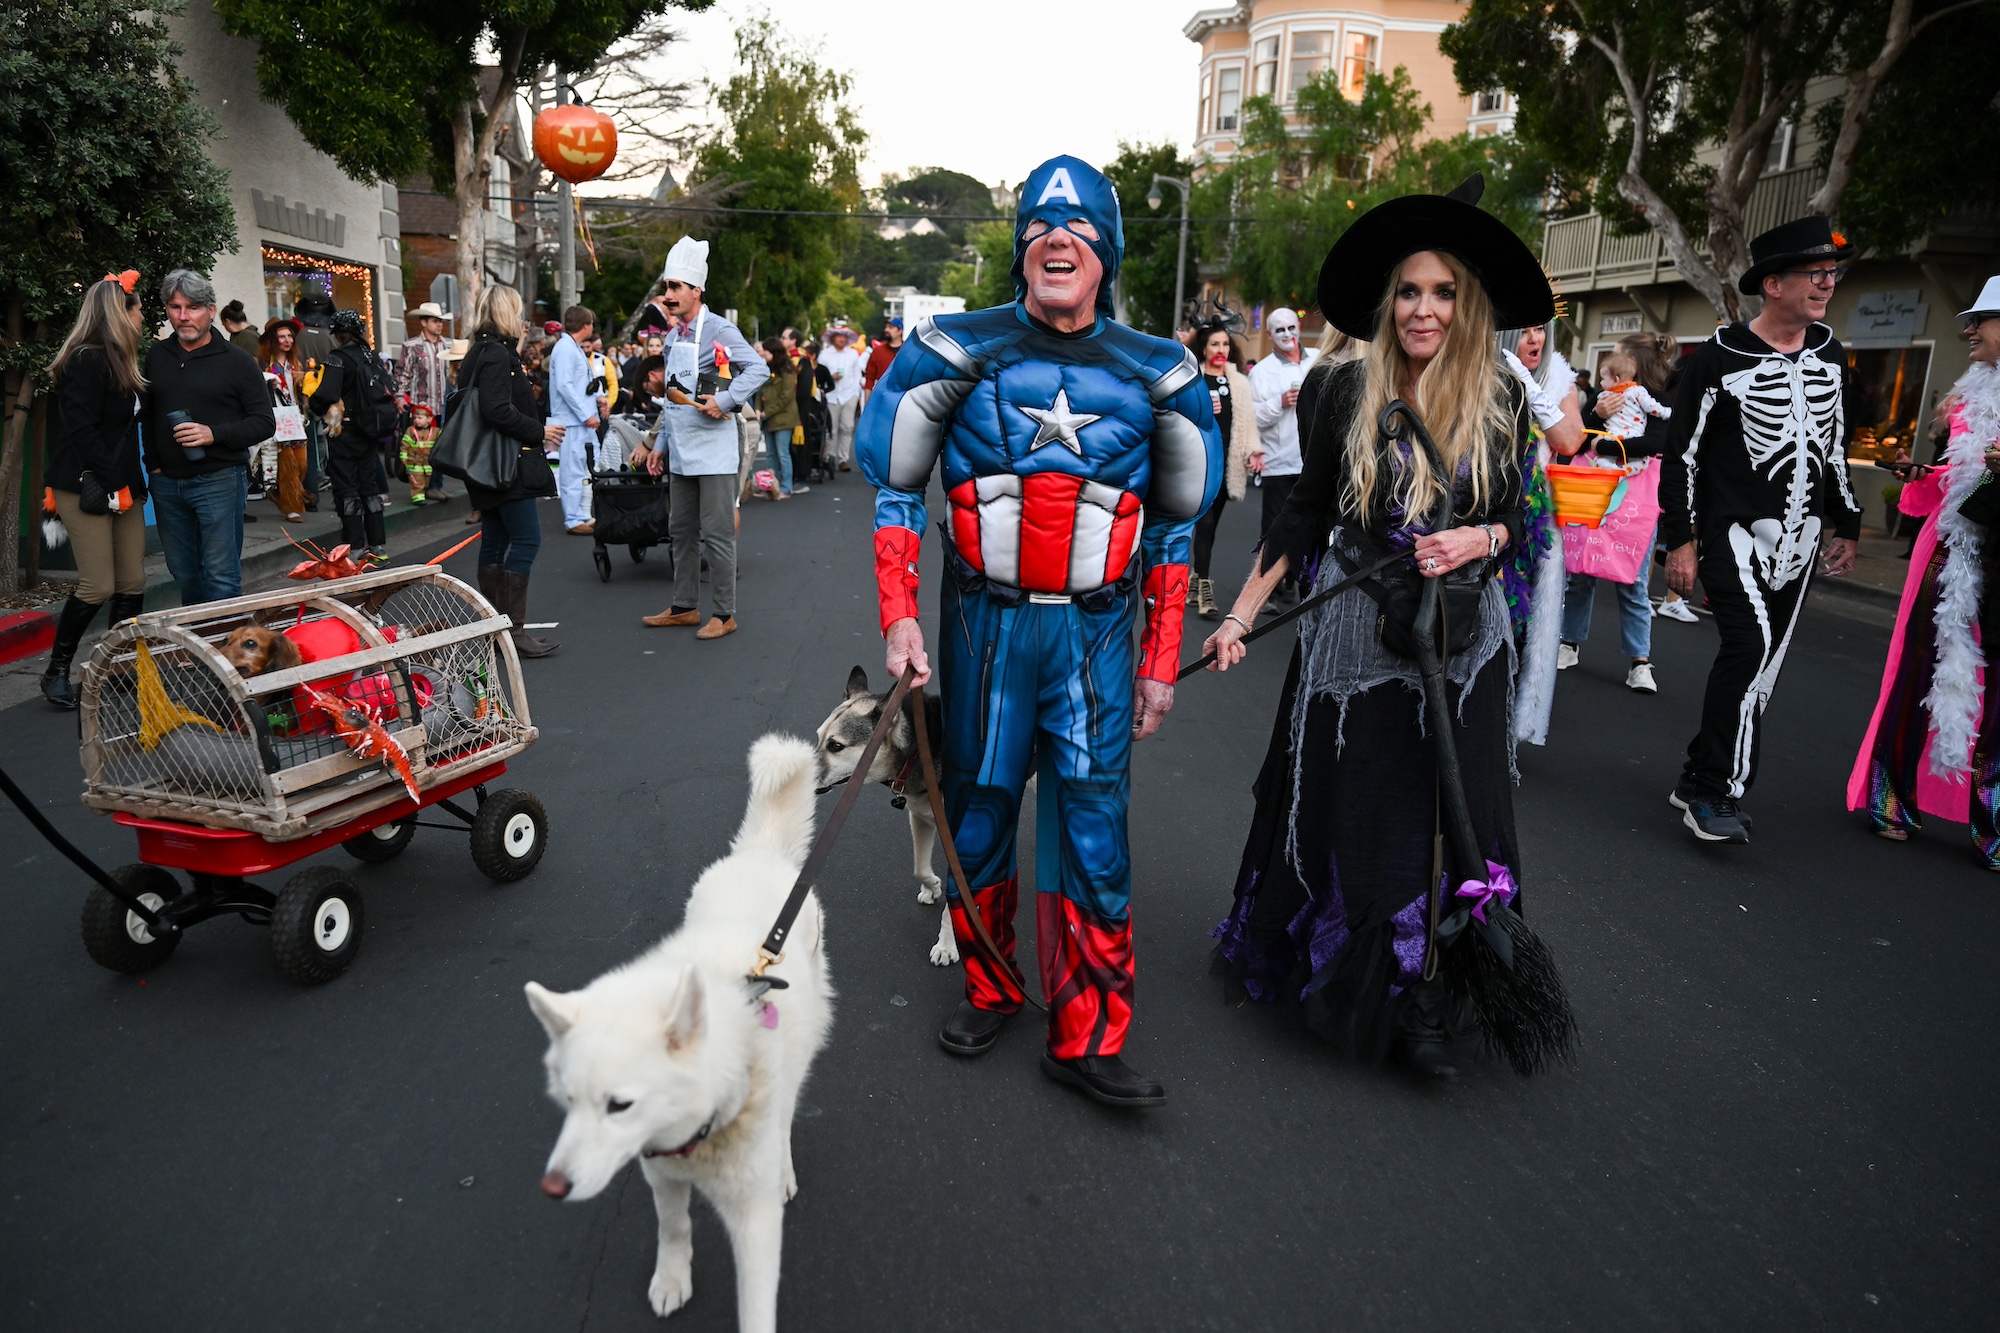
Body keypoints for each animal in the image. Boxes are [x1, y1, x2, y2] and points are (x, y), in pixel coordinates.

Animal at [528, 732, 832, 1320]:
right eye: (568, 1102)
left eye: (619, 1105)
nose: (552, 1187)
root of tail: (760, 854)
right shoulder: (661, 1174)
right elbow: (674, 1228)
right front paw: (671, 1278)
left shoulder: (755, 1224)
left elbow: (756, 1308)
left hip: (803, 1044)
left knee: (787, 1110)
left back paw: (783, 1166)